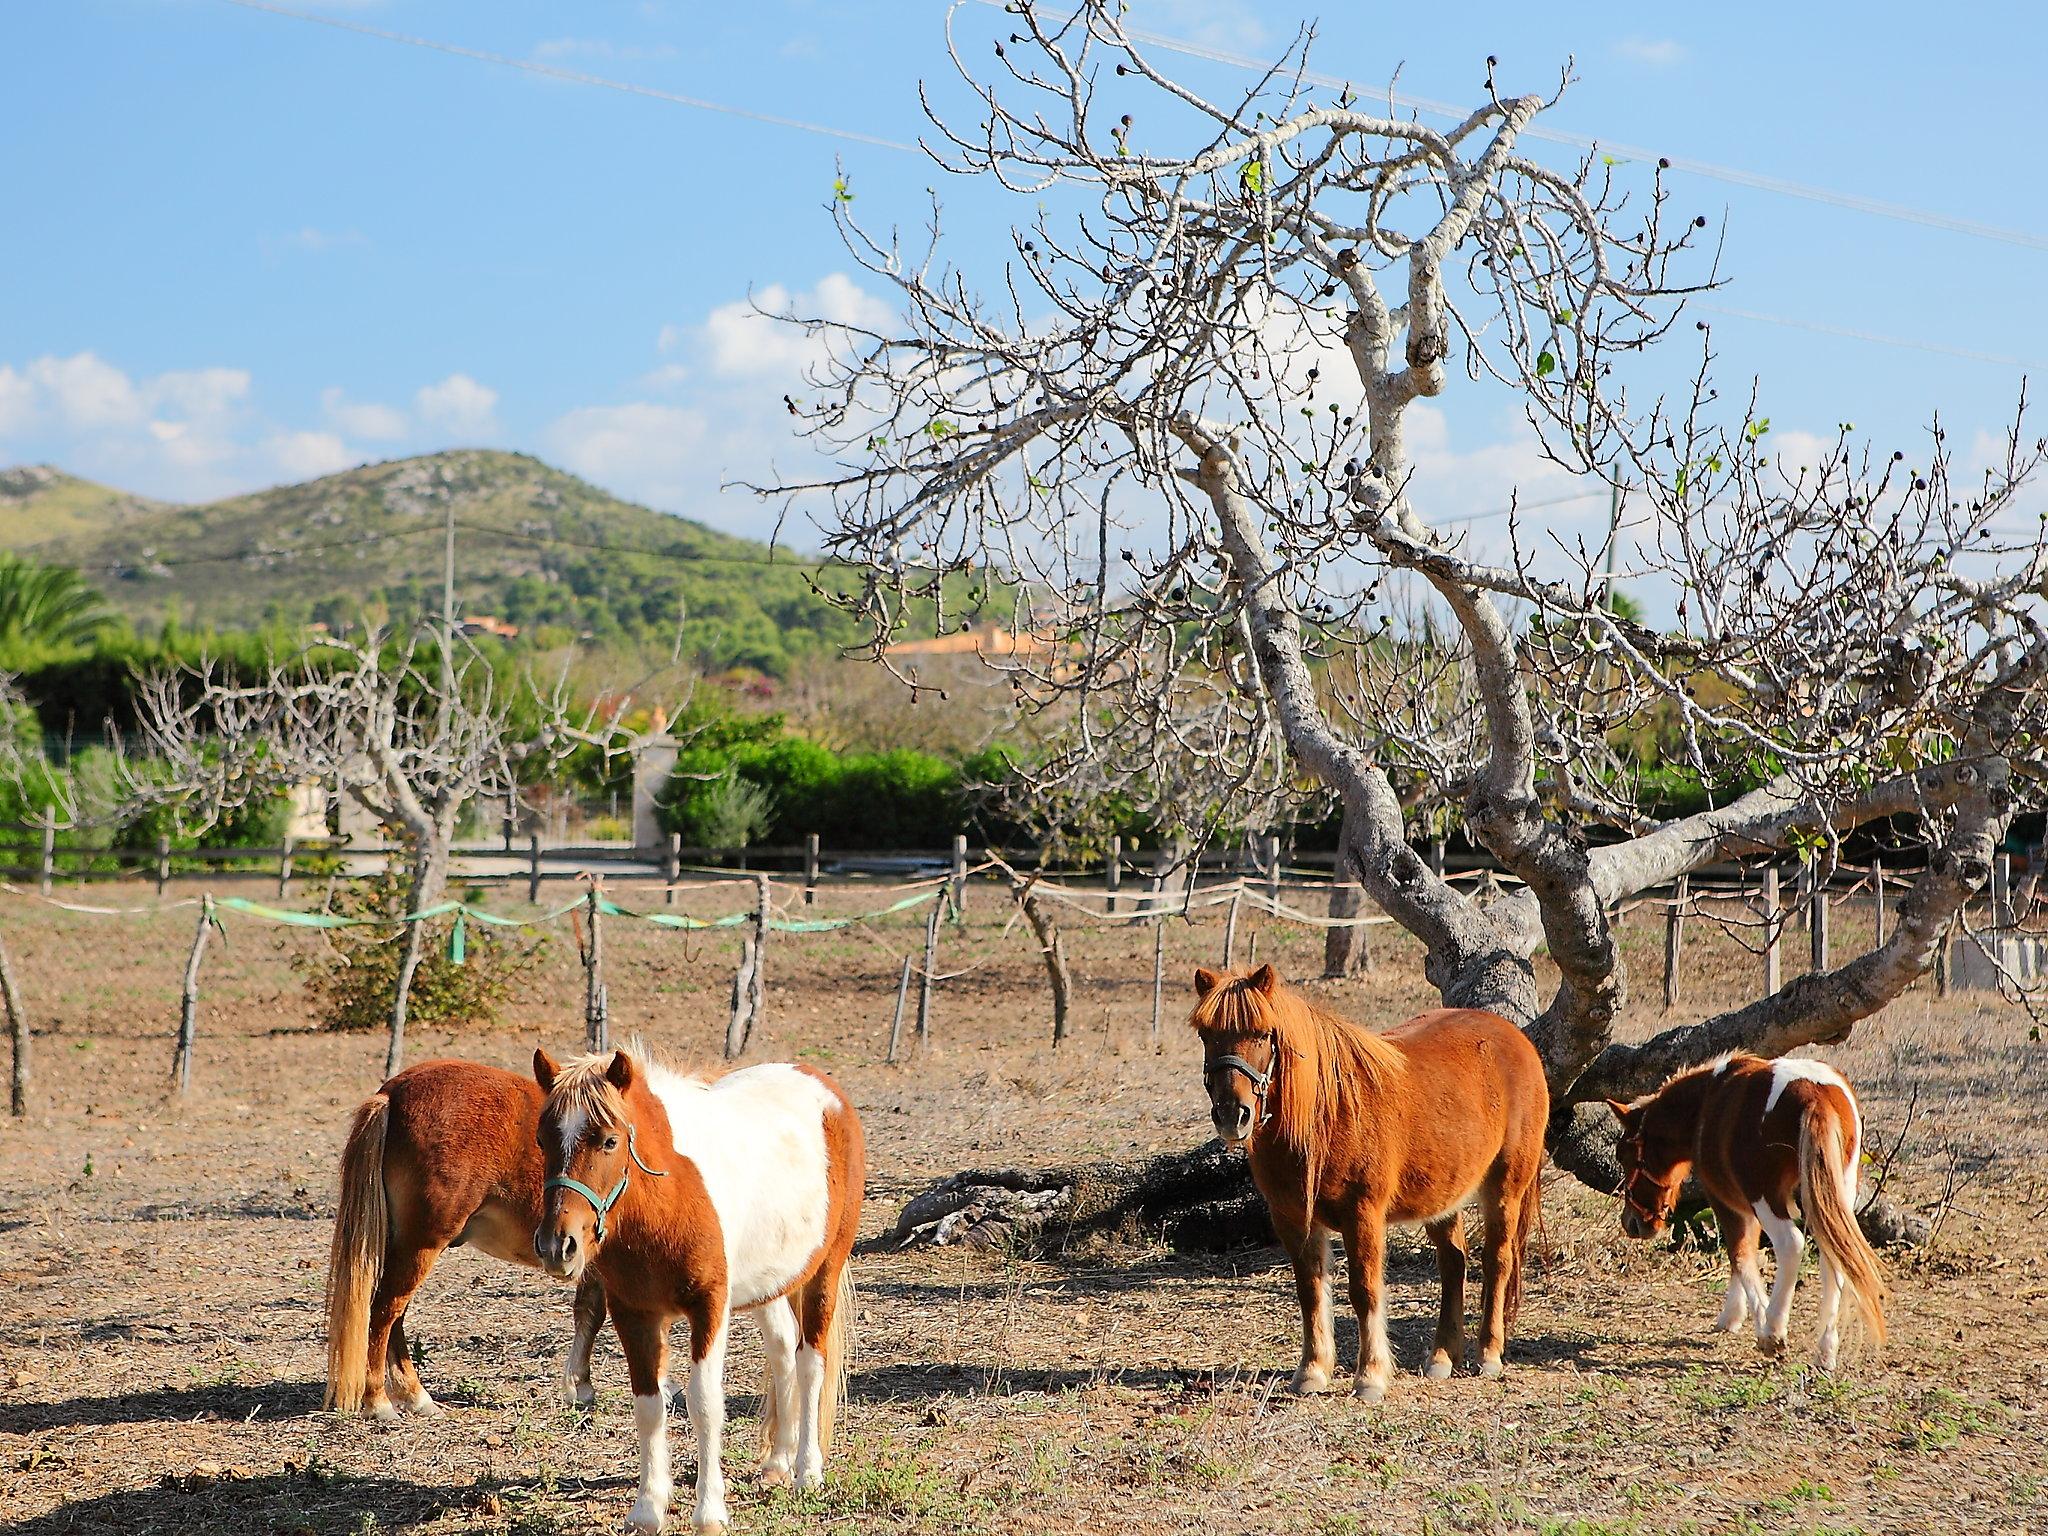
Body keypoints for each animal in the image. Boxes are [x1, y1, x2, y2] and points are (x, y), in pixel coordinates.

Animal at [323, 1064, 610, 1425]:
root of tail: (391, 1093)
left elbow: (589, 1311)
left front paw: (579, 1388)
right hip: (421, 1246)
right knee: (385, 1311)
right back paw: (379, 1402)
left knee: (394, 1316)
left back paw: (415, 1397)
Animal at [532, 1048, 860, 1536]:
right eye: (542, 1140)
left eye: (609, 1141)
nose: (558, 1246)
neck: (667, 1198)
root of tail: (824, 1088)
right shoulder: (634, 1314)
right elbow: (649, 1405)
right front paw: (647, 1509)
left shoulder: (709, 1308)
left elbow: (704, 1404)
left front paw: (710, 1513)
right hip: (770, 1284)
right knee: (783, 1349)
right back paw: (778, 1463)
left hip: (823, 1272)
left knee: (810, 1363)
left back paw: (807, 1473)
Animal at [1196, 966, 1540, 1400]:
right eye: (1206, 1034)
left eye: (1262, 1033)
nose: (1231, 1115)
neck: (1326, 1113)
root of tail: (1516, 1038)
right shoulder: (1293, 1219)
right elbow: (1310, 1291)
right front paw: (1312, 1371)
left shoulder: (1363, 1216)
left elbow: (1365, 1292)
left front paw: (1370, 1376)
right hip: (1443, 1198)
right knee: (1453, 1264)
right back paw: (1442, 1357)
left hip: (1505, 1188)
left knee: (1498, 1260)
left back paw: (1489, 1354)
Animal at [1613, 1056, 1884, 1368]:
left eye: (1624, 1155)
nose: (1632, 1223)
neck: (1707, 1101)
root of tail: (1814, 1094)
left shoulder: (1727, 1202)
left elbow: (1739, 1255)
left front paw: (1751, 1318)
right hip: (1834, 1195)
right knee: (1834, 1257)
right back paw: (1825, 1351)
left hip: (1766, 1197)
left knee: (1791, 1244)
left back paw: (1773, 1331)